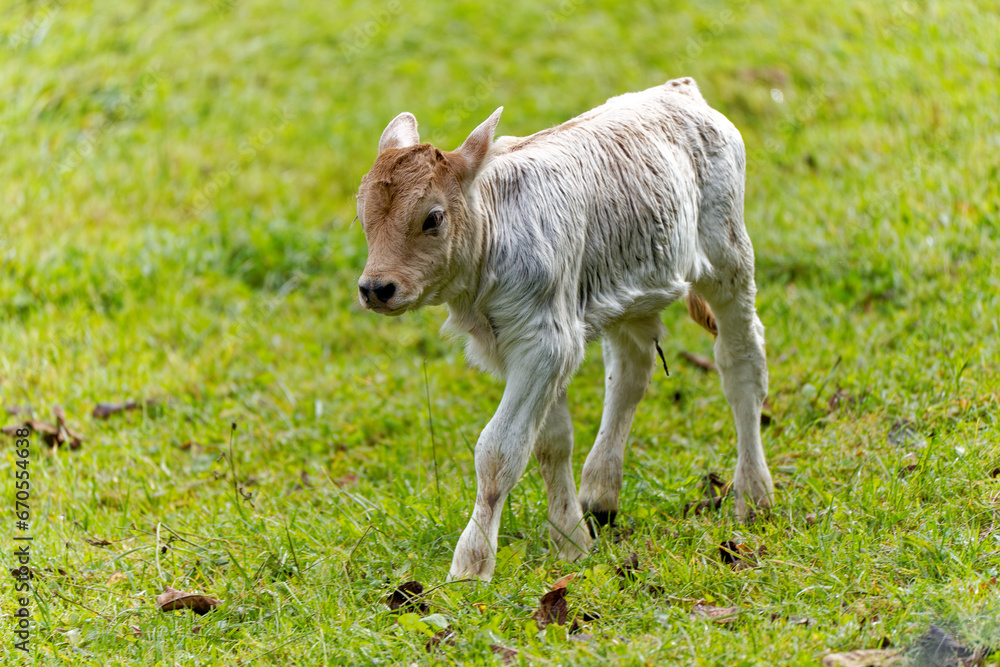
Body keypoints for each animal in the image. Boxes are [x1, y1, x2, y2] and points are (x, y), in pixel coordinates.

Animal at [355, 77, 774, 581]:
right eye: (363, 214)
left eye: (432, 218)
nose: (376, 288)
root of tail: (679, 89)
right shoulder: (528, 344)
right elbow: (551, 443)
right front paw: (572, 542)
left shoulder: (544, 342)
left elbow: (499, 451)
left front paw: (471, 566)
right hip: (629, 287)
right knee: (630, 371)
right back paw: (600, 495)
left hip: (729, 255)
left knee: (742, 364)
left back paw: (753, 496)